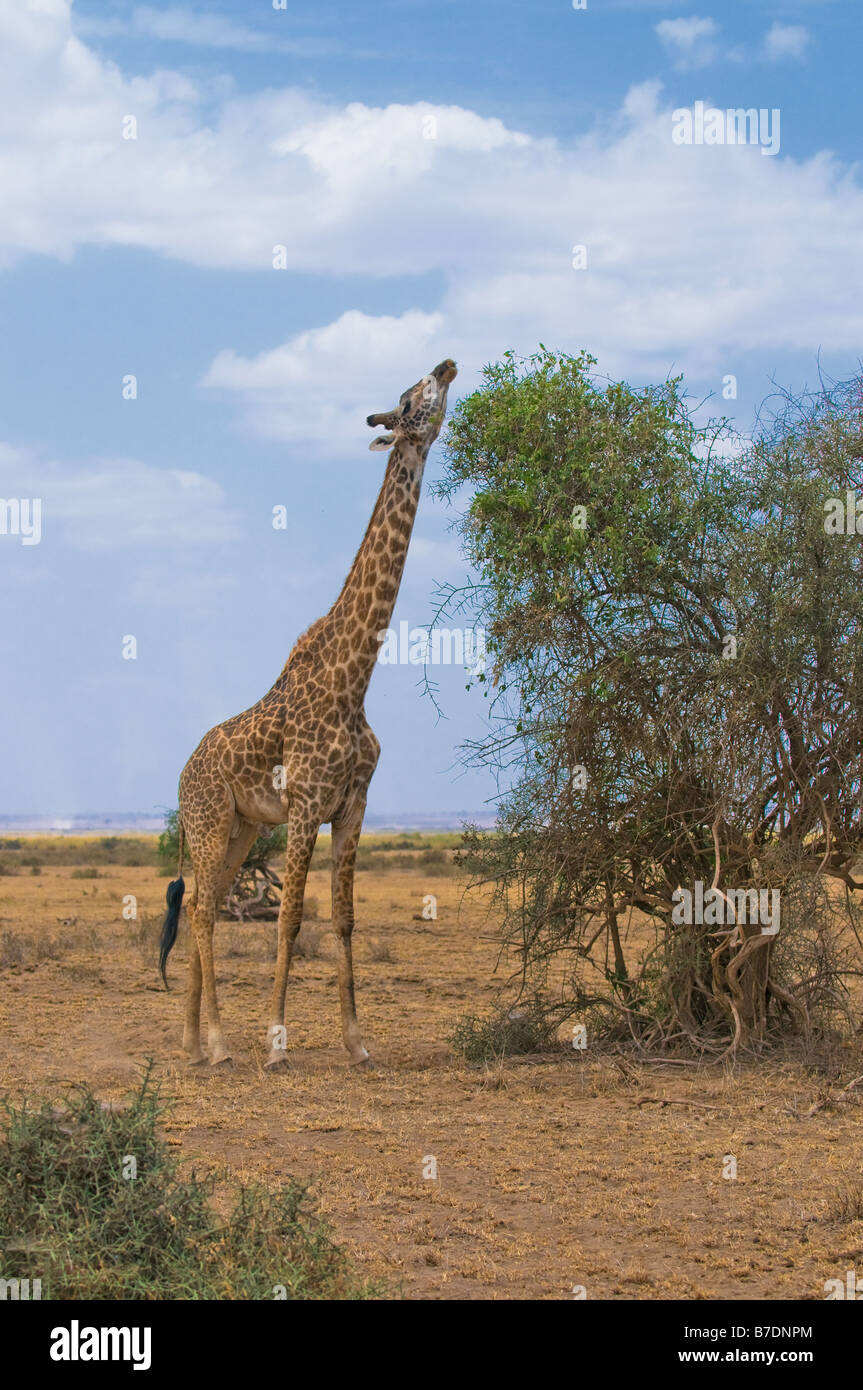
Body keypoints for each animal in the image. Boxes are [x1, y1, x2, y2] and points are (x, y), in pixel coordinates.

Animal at [159, 357, 458, 1068]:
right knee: (205, 911)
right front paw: (275, 1041)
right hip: (209, 822)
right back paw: (220, 1043)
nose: (446, 365)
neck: (355, 682)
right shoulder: (303, 808)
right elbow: (292, 918)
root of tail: (181, 775)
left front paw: (358, 1043)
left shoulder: (352, 807)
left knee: (206, 902)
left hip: (239, 829)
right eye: (410, 396)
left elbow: (343, 919)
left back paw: (193, 1040)